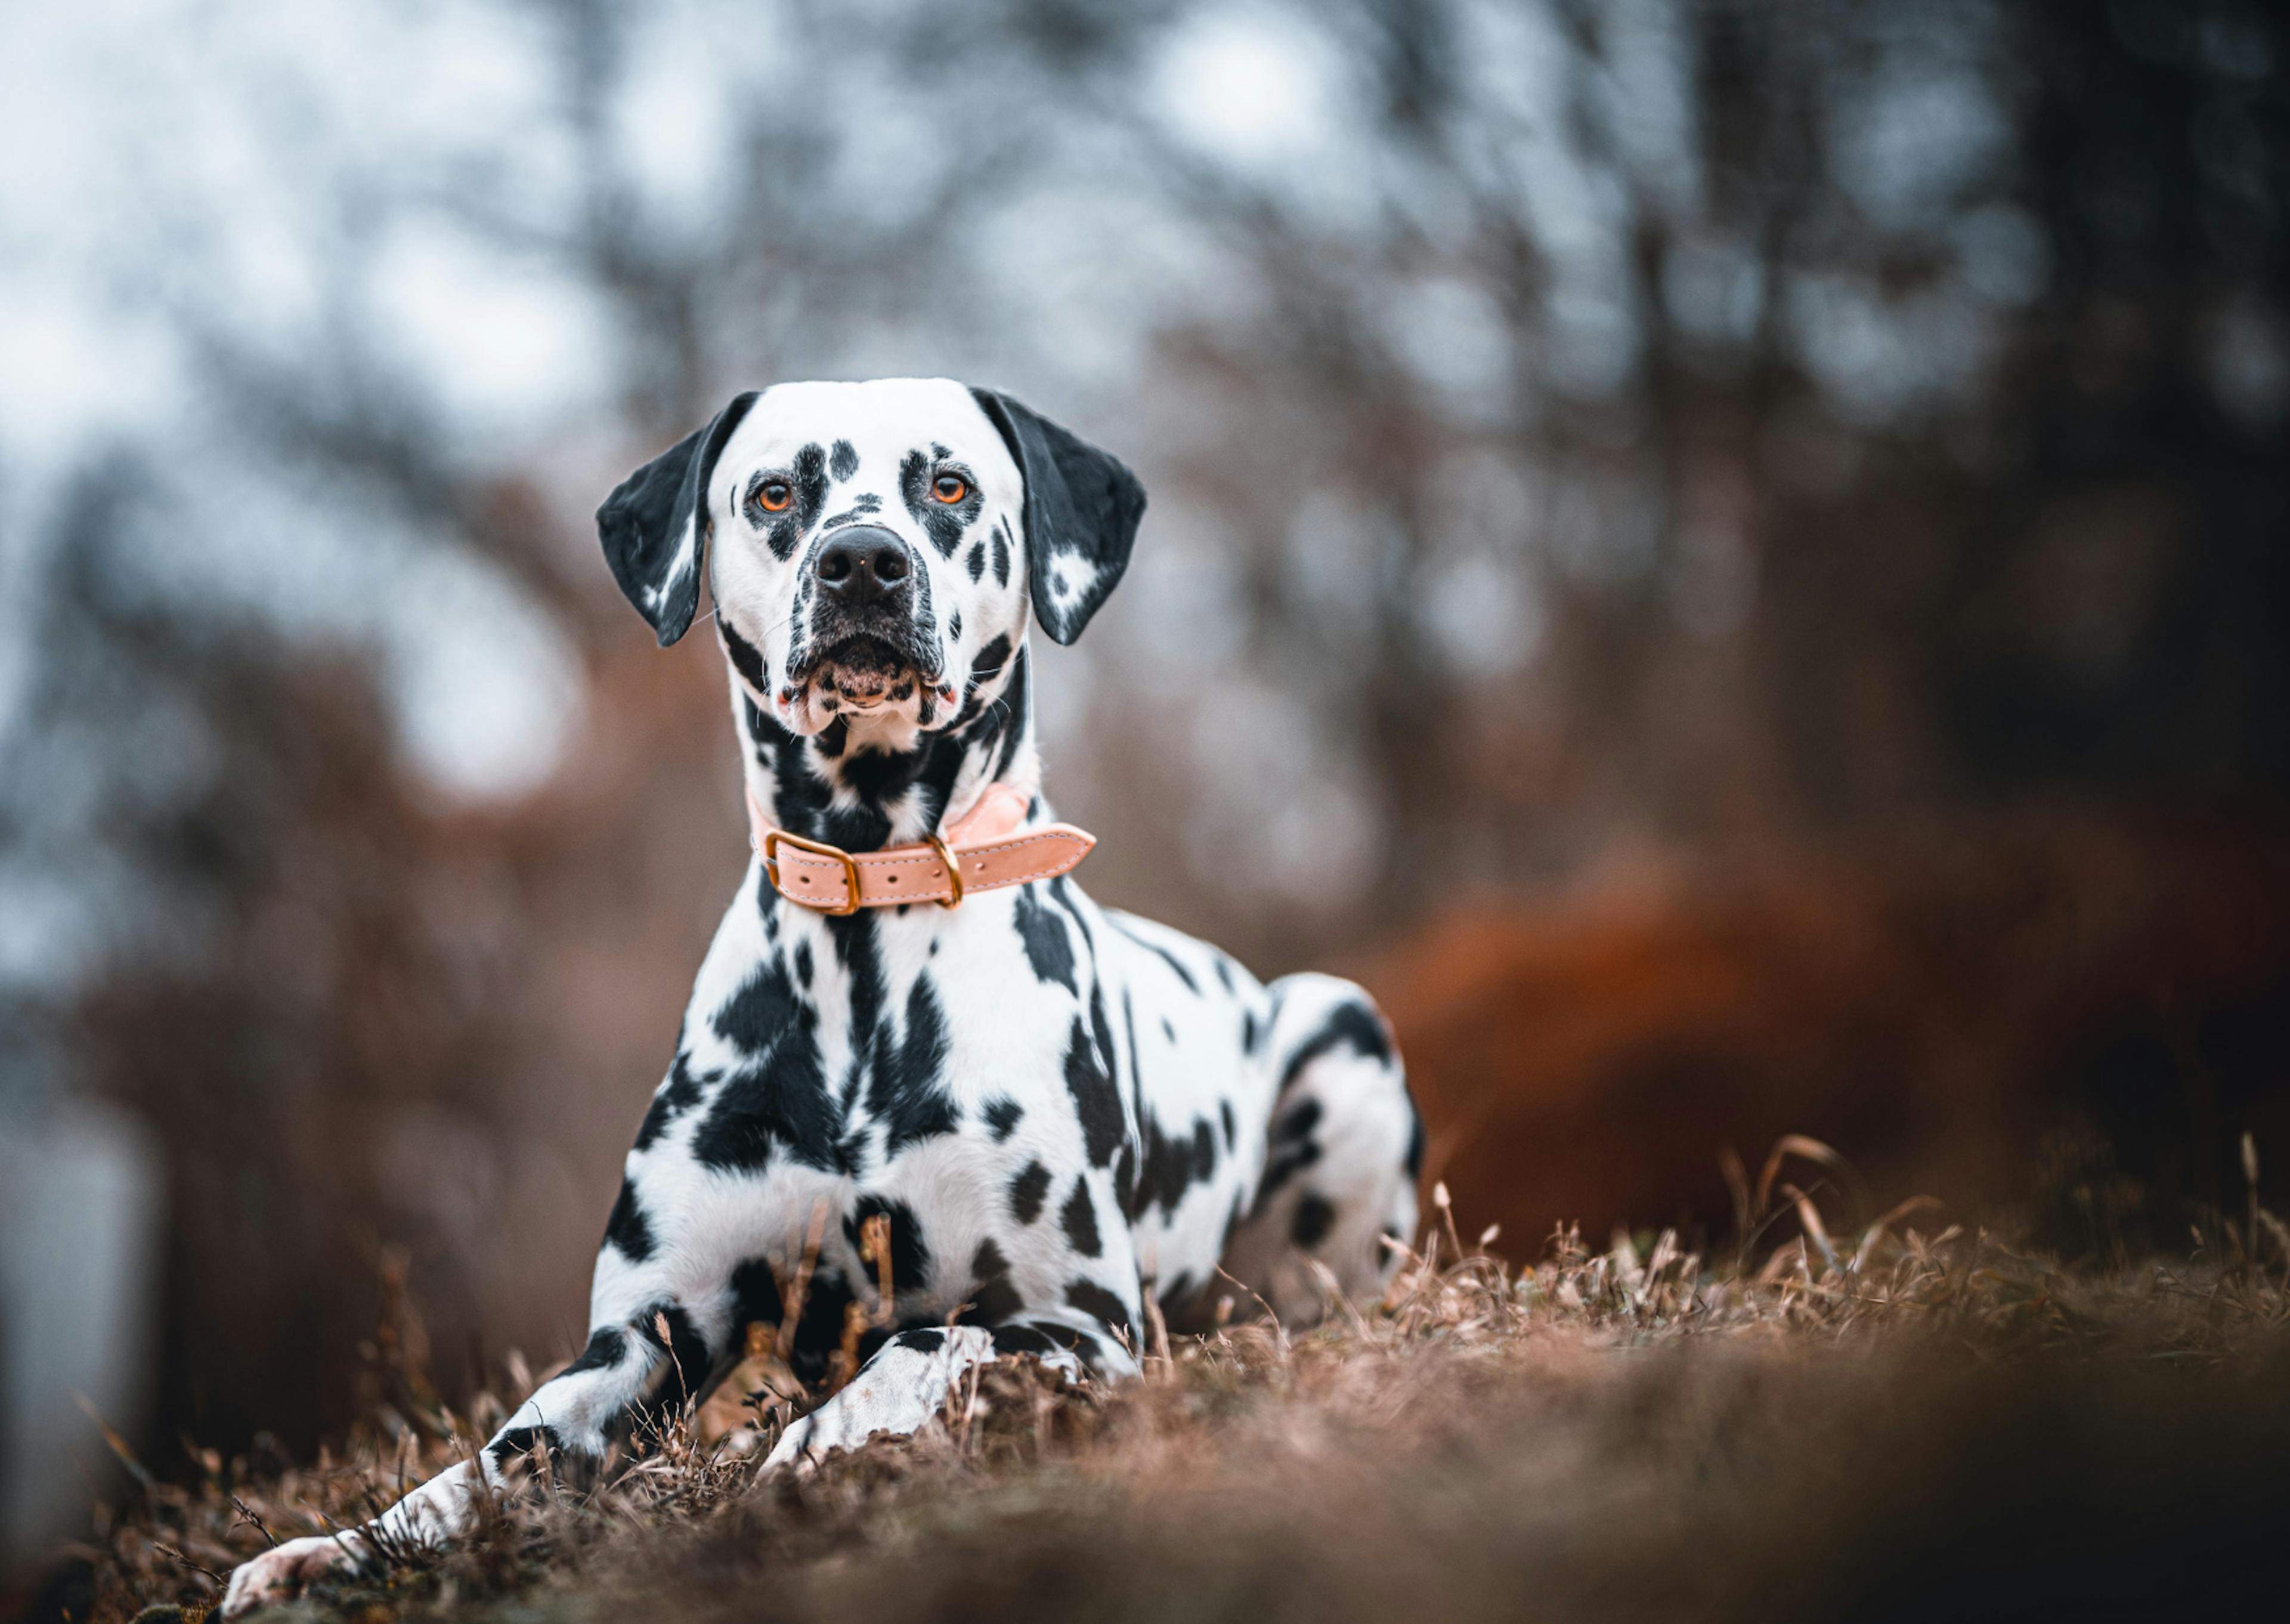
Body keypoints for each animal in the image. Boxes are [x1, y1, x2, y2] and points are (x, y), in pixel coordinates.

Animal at [223, 377, 1419, 1612]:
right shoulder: (643, 1337)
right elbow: (492, 1460)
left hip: (1341, 1028)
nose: (862, 561)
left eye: (949, 484)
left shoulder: (1077, 1322)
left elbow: (919, 1345)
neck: (868, 925)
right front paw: (337, 1548)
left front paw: (807, 1455)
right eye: (774, 493)